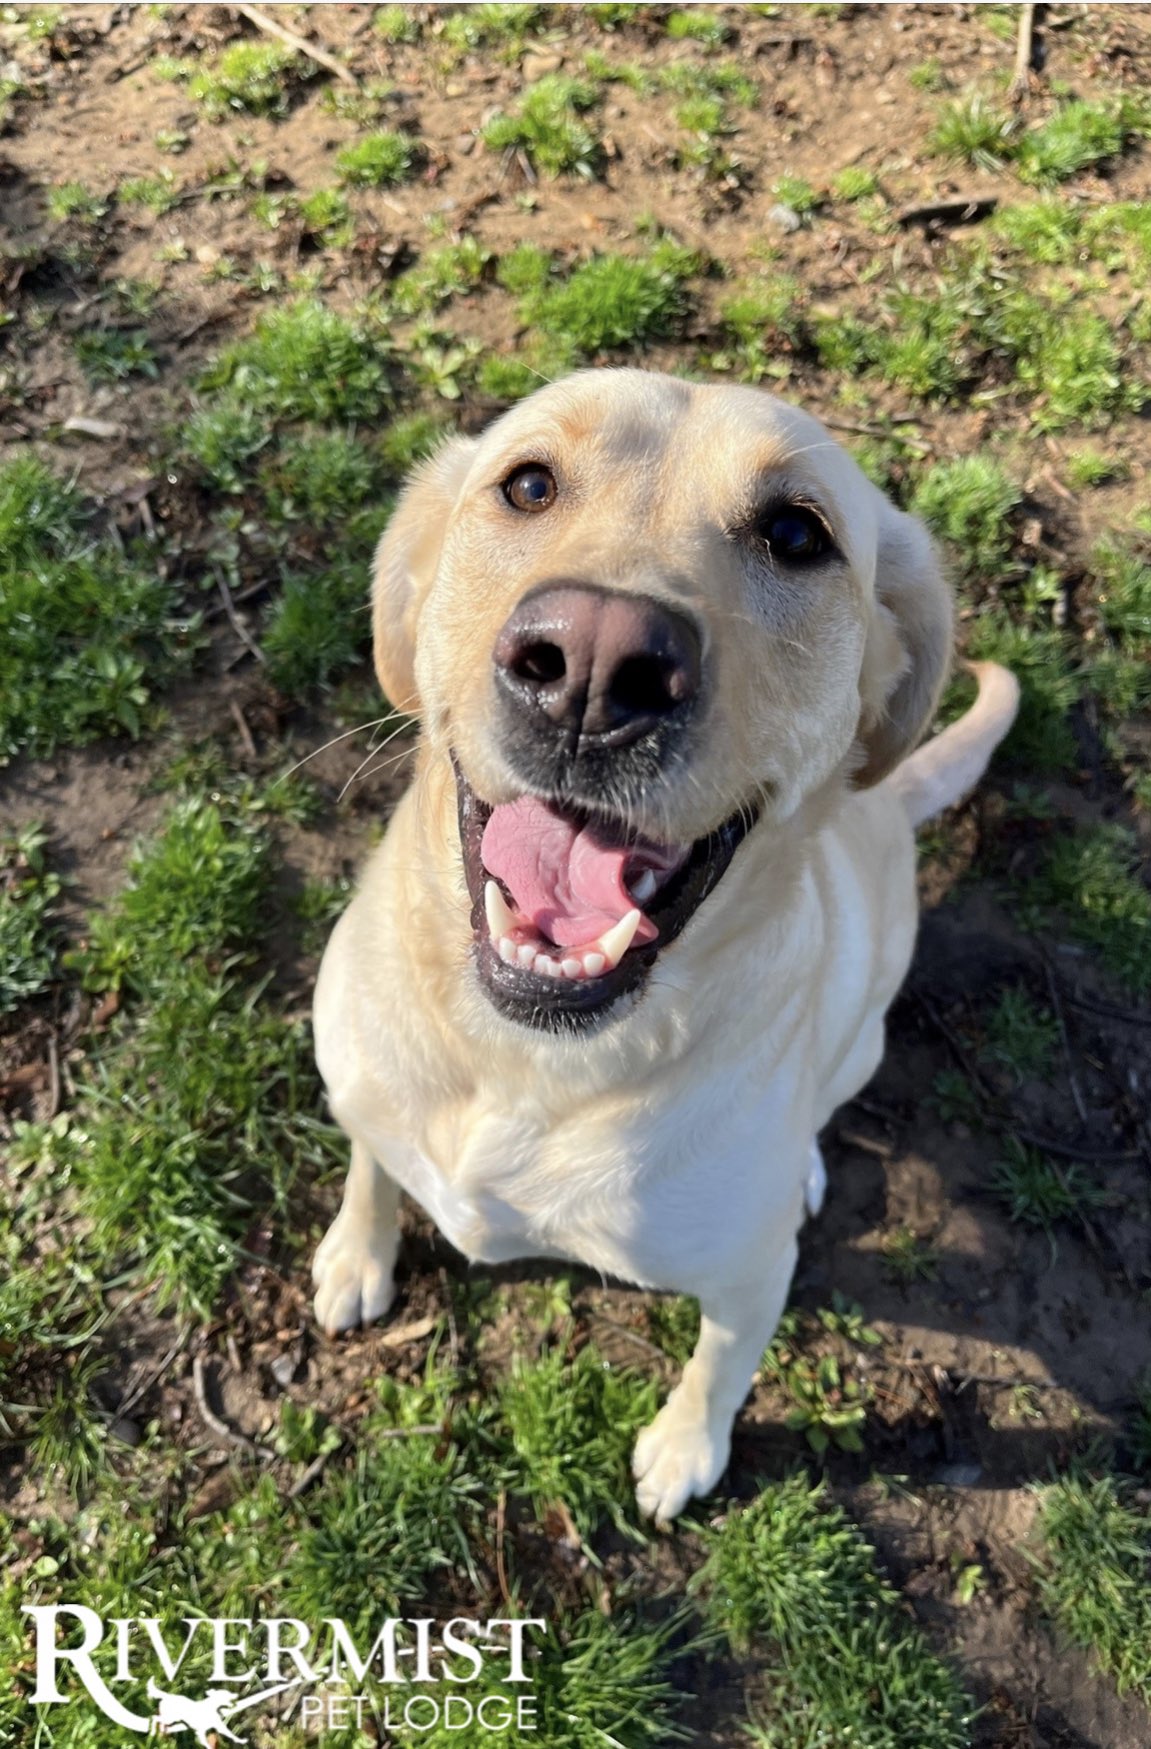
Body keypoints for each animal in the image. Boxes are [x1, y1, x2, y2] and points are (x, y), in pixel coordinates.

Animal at [310, 368, 1018, 1524]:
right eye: (527, 484)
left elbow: (721, 1363)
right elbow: (373, 1160)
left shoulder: (749, 1279)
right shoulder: (364, 1090)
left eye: (795, 534)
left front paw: (685, 1449)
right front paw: (353, 1253)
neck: (522, 1062)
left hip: (863, 1029)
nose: (593, 665)